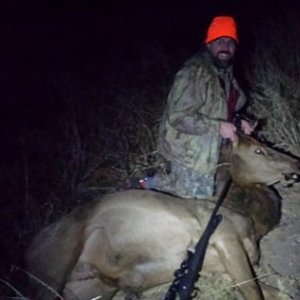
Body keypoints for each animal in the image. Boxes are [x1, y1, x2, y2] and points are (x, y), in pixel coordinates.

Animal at [25, 136, 300, 300]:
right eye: (258, 150)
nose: (295, 162)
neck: (252, 219)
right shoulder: (226, 239)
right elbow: (253, 290)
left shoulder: (225, 270)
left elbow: (279, 293)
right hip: (51, 271)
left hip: (93, 289)